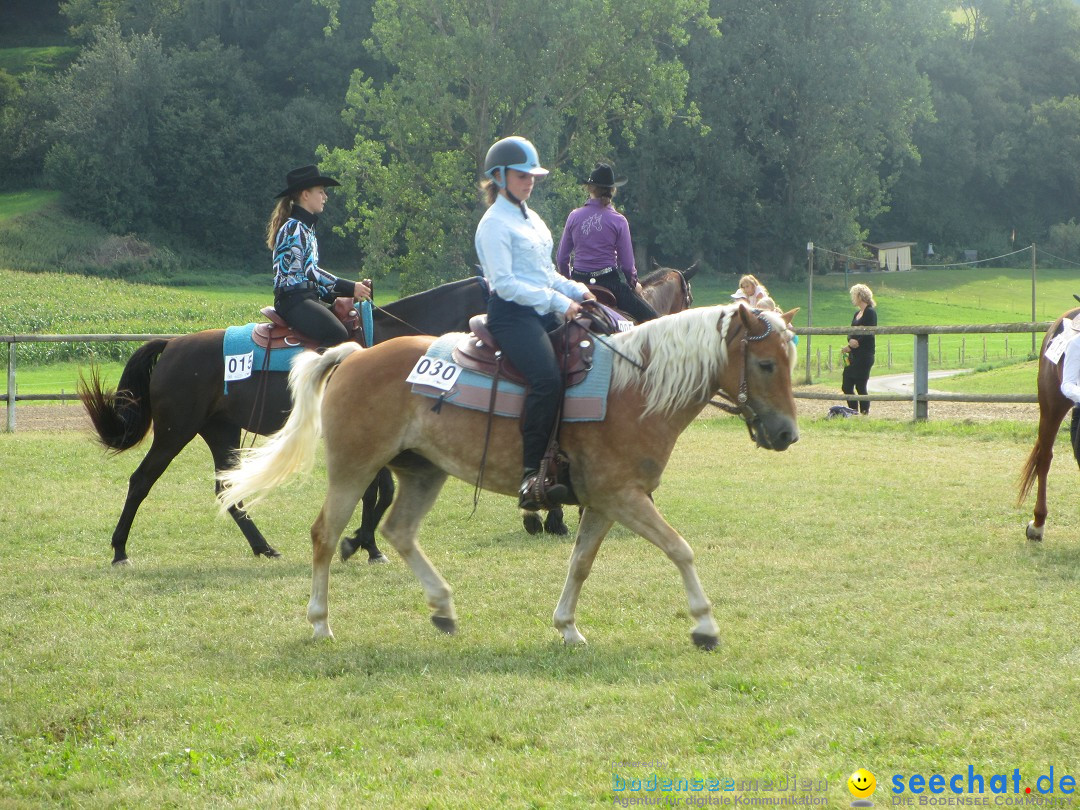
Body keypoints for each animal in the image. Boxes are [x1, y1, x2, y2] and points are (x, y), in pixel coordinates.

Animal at [79, 276, 490, 565]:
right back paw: (119, 551)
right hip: (174, 431)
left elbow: (379, 491)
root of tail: (172, 345)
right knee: (141, 480)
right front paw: (361, 543)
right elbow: (378, 491)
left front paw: (366, 545)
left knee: (226, 490)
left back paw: (264, 547)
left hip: (221, 430)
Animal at [219, 304, 799, 652]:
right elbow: (681, 549)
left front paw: (567, 626)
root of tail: (356, 355)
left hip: (423, 472)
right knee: (325, 534)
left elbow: (580, 564)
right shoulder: (625, 498)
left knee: (398, 532)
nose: (788, 434)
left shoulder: (602, 503)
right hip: (353, 470)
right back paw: (320, 621)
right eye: (766, 364)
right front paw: (704, 624)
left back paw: (443, 608)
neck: (634, 390)